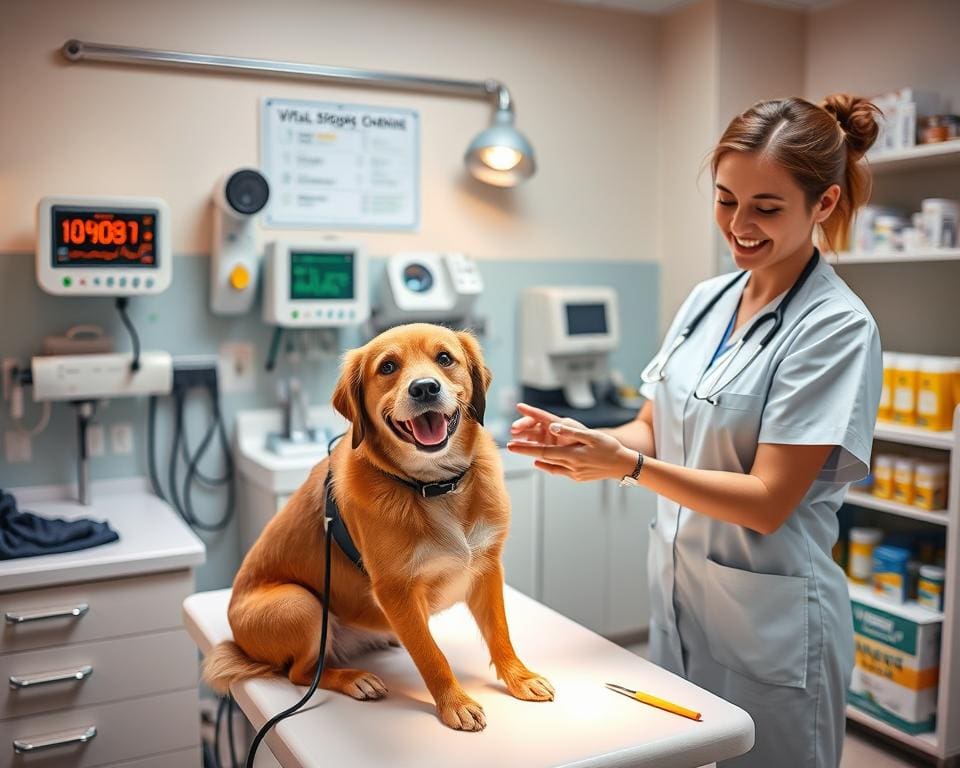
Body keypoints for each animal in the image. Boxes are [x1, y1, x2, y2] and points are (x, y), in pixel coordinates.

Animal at [202, 320, 556, 728]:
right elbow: (431, 655)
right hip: (300, 604)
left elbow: (500, 633)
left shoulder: (486, 568)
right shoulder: (395, 590)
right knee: (300, 674)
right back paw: (356, 679)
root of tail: (237, 640)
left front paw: (519, 677)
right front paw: (454, 702)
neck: (434, 487)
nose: (424, 387)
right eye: (387, 367)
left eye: (444, 358)